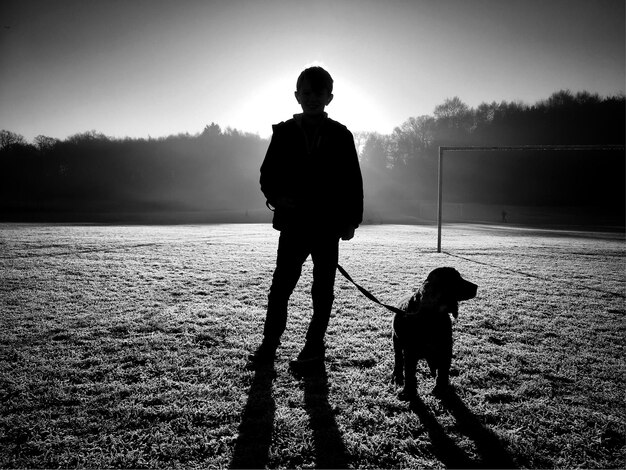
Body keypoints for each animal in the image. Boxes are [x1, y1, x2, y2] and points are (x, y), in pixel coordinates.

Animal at [390, 268, 478, 400]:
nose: (476, 286)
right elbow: (410, 372)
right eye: (455, 279)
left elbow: (443, 371)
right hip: (397, 340)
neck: (432, 318)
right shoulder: (410, 351)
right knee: (398, 358)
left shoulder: (445, 348)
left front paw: (440, 389)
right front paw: (408, 392)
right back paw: (397, 375)